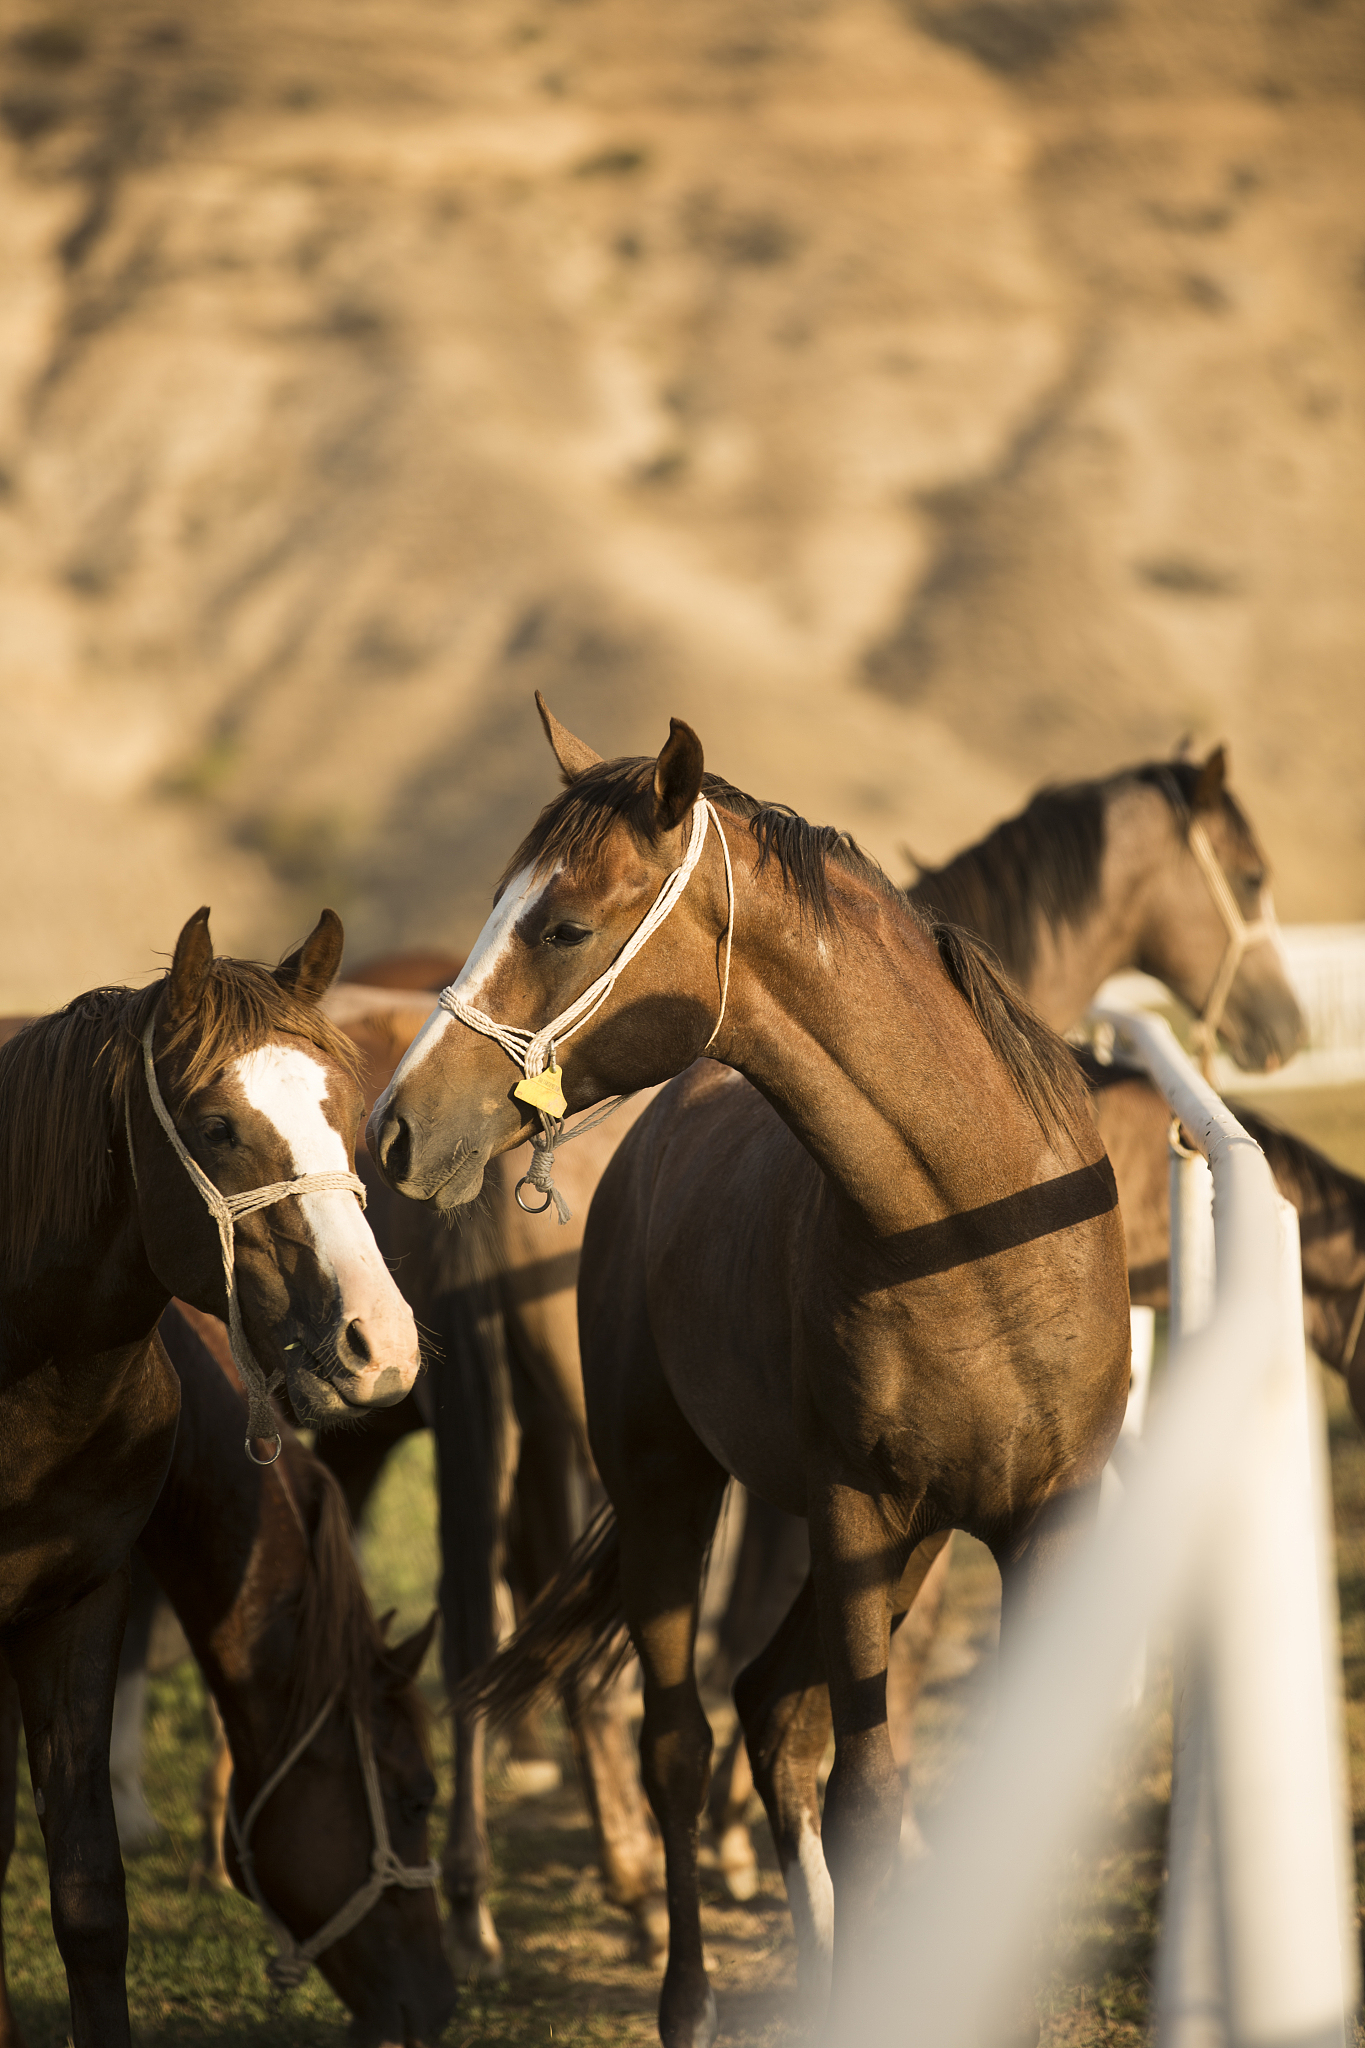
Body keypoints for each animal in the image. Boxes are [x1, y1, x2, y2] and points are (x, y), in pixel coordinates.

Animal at [369, 698, 1132, 2044]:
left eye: (564, 924)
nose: (399, 1127)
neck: (977, 1219)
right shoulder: (850, 1510)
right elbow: (867, 1796)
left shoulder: (1038, 1516)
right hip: (672, 1491)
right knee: (683, 1737)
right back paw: (686, 1990)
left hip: (904, 1540)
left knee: (773, 1711)